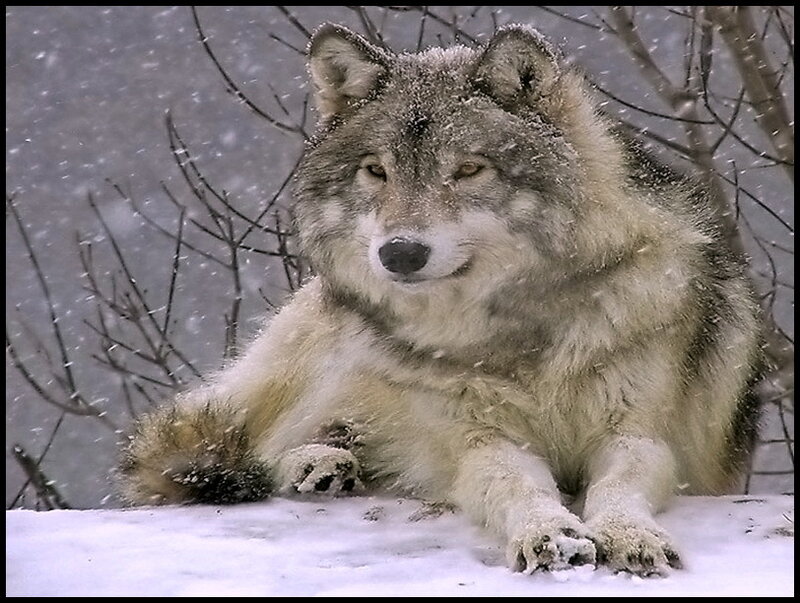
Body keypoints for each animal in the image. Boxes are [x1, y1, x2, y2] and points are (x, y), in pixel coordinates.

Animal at [120, 23, 763, 576]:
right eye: (376, 171)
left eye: (469, 169)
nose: (400, 253)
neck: (518, 330)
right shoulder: (477, 440)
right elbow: (515, 484)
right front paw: (549, 533)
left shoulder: (638, 434)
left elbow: (619, 487)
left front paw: (630, 537)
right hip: (328, 353)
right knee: (243, 445)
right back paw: (317, 463)